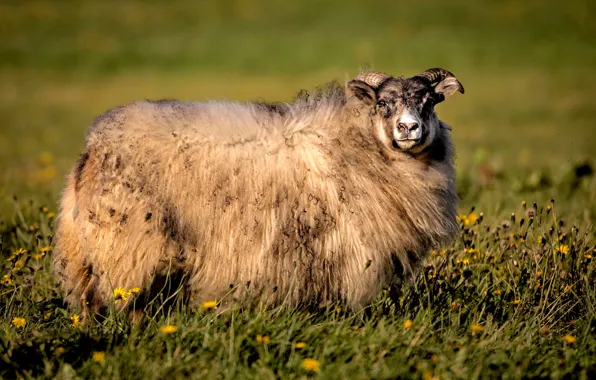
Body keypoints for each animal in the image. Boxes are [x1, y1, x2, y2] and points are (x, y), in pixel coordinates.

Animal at [52, 68, 466, 318]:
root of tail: (93, 145)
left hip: (89, 254)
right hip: (129, 245)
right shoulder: (339, 248)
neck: (357, 142)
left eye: (429, 102)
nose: (408, 128)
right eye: (382, 103)